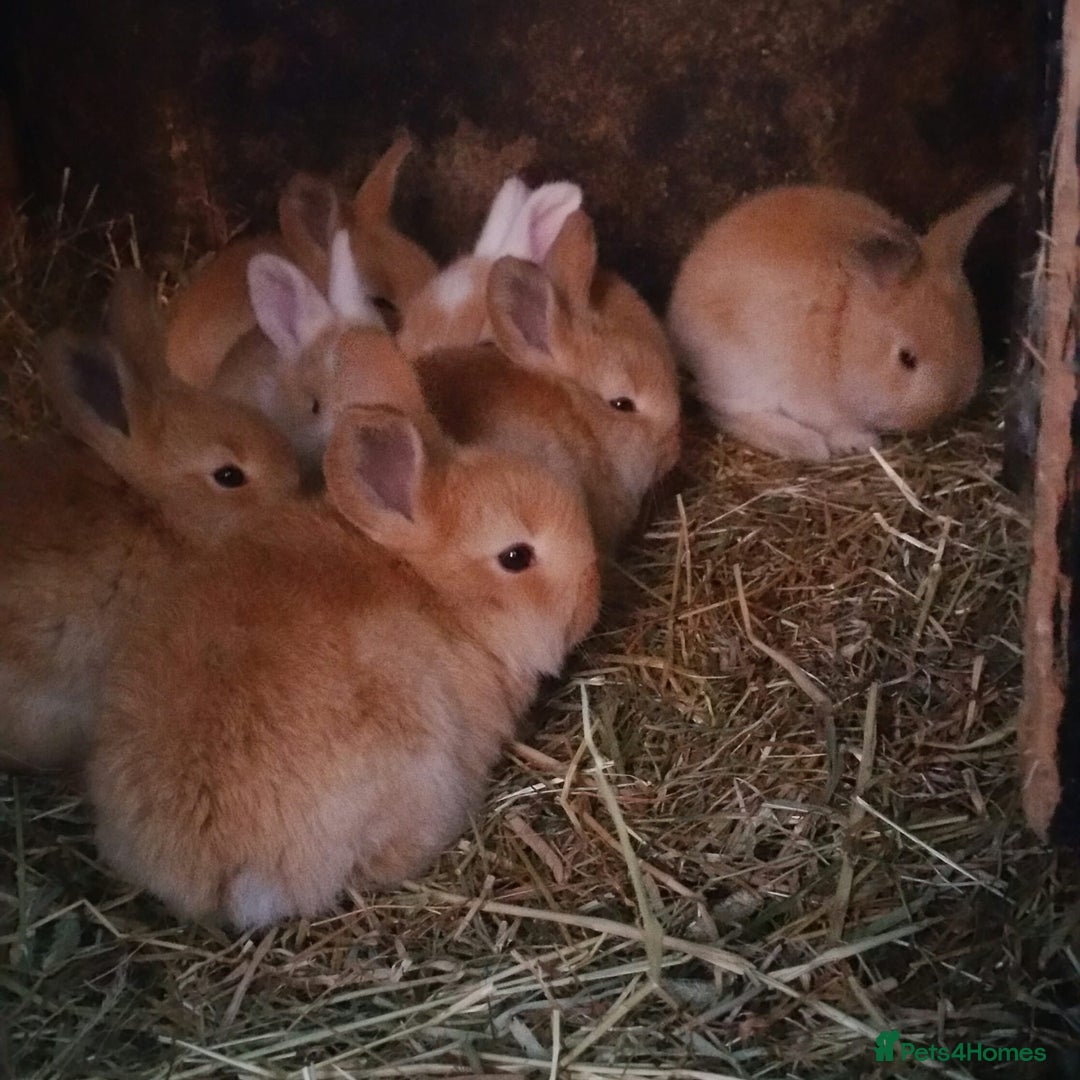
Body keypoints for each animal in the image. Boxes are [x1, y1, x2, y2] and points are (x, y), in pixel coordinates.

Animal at [666, 183, 1014, 462]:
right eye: (906, 359)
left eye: (972, 334)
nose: (946, 408)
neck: (843, 330)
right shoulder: (811, 399)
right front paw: (859, 441)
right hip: (739, 371)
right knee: (723, 410)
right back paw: (807, 446)